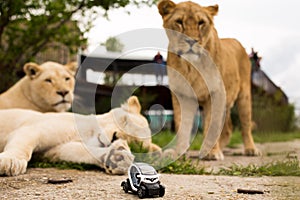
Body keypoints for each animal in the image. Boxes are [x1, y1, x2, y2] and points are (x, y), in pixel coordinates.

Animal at [0, 96, 159, 176]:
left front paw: (117, 158)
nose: (114, 137)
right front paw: (10, 162)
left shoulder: (53, 151)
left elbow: (78, 152)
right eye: (125, 120)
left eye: (134, 143)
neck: (85, 135)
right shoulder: (35, 129)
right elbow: (23, 146)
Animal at [157, 0, 260, 159]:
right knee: (228, 128)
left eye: (201, 23)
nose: (191, 41)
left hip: (244, 96)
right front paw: (179, 152)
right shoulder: (182, 95)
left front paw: (211, 153)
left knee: (245, 125)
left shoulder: (216, 93)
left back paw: (250, 149)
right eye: (179, 22)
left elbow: (213, 125)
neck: (191, 66)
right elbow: (182, 125)